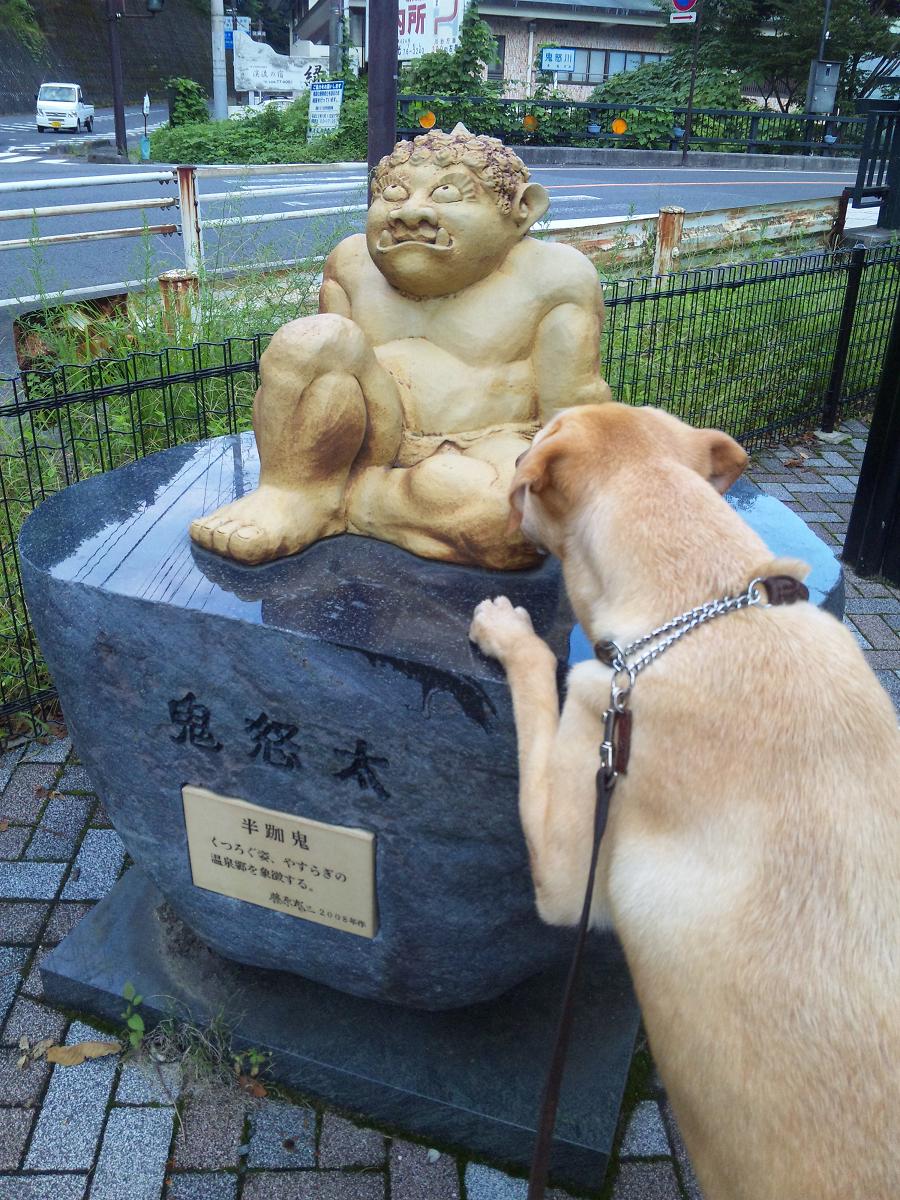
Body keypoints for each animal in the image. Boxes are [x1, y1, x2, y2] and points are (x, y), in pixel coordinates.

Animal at [469, 403, 900, 1200]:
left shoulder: (569, 856)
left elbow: (542, 673)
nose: (510, 458)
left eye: (528, 450)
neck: (704, 599)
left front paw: (505, 629)